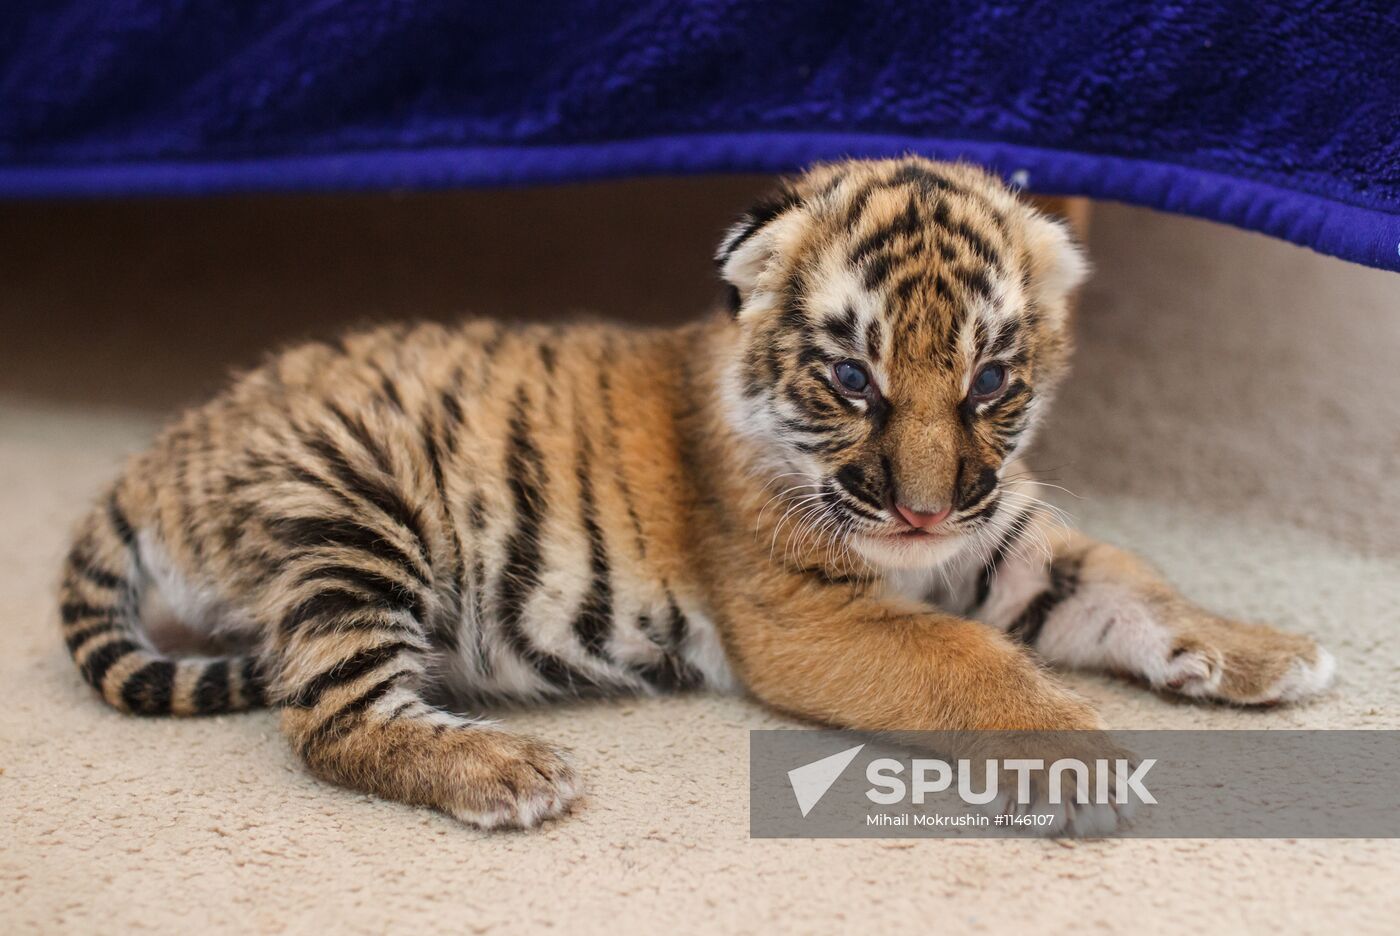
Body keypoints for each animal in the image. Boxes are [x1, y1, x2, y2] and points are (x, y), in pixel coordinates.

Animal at [57, 157, 1334, 834]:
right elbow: (969, 662)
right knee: (328, 717)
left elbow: (1127, 583)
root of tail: (164, 450)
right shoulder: (800, 610)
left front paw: (1261, 652)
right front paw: (1079, 758)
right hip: (355, 515)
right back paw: (505, 772)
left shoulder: (999, 533)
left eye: (987, 381)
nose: (919, 513)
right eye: (851, 378)